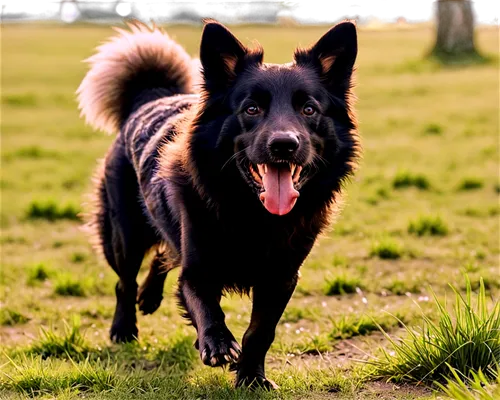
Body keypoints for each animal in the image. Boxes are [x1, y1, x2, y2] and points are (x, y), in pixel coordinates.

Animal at [77, 18, 360, 388]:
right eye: (251, 109)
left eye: (308, 109)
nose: (284, 145)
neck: (254, 213)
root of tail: (151, 96)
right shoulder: (198, 267)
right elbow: (203, 302)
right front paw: (217, 343)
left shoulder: (281, 277)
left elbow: (260, 331)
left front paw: (251, 377)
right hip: (125, 235)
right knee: (125, 280)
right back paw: (124, 327)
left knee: (163, 255)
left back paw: (150, 298)